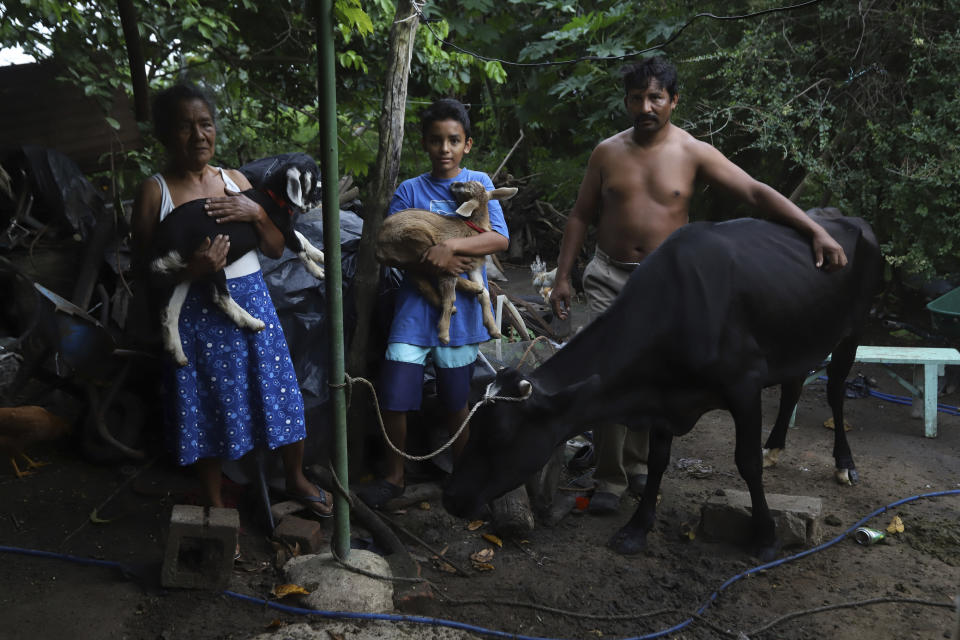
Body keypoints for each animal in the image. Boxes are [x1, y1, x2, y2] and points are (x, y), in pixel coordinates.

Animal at [376, 180, 516, 344]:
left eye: (465, 189)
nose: (453, 183)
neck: (473, 228)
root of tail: (378, 244)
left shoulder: (474, 267)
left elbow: (486, 295)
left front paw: (494, 331)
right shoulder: (452, 260)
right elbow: (450, 297)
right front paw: (443, 335)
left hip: (412, 258)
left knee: (422, 282)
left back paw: (472, 290)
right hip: (419, 243)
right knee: (433, 276)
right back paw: (467, 293)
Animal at [446, 212, 880, 556]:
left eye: (500, 437)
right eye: (474, 428)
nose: (452, 497)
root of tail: (850, 219)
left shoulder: (744, 384)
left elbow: (746, 463)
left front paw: (765, 536)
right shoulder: (662, 397)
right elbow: (657, 461)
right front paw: (637, 527)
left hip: (853, 330)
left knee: (835, 391)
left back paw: (844, 464)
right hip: (798, 339)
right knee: (793, 386)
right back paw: (774, 446)